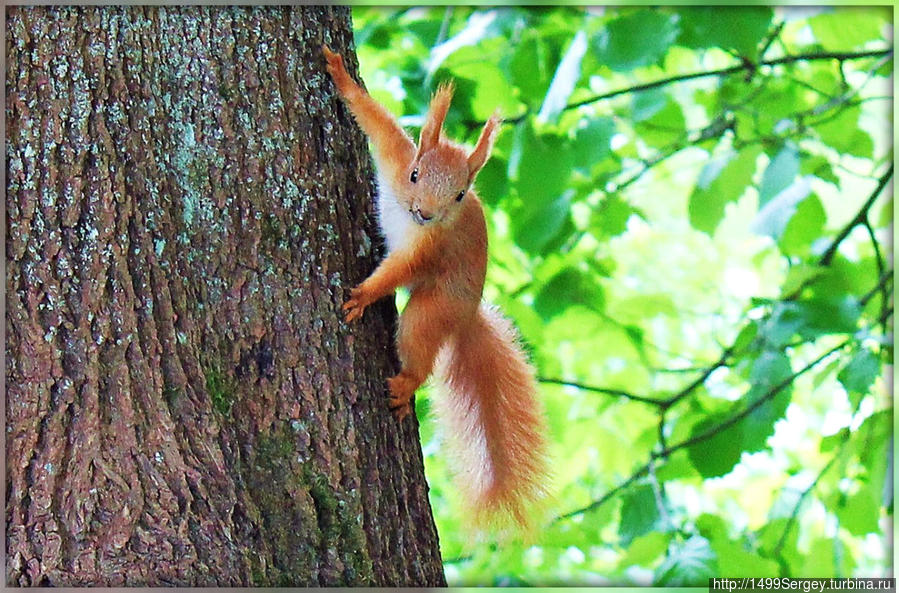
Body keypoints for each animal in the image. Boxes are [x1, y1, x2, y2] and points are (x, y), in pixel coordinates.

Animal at [324, 46, 548, 528]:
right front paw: (340, 74)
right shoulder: (393, 157)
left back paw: (407, 382)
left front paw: (361, 297)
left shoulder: (428, 250)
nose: (425, 213)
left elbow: (395, 272)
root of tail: (466, 316)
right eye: (414, 174)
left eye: (461, 194)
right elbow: (376, 122)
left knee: (418, 343)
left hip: (432, 311)